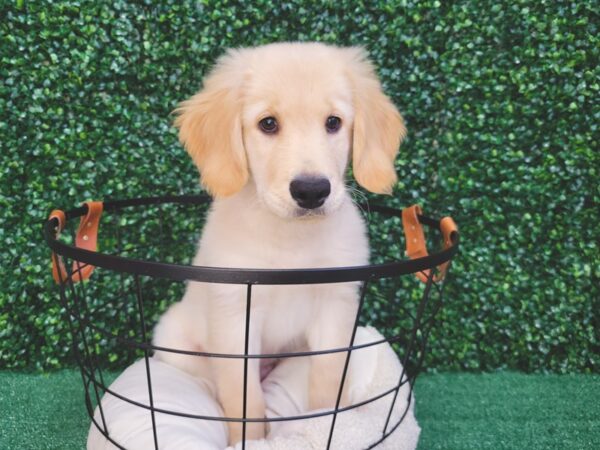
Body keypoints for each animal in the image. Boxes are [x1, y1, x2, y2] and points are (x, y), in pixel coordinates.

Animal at [154, 43, 408, 446]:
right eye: (268, 124)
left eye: (333, 122)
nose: (311, 191)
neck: (291, 240)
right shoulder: (235, 317)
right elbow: (243, 399)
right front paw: (247, 441)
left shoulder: (334, 309)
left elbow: (326, 379)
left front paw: (323, 426)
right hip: (174, 339)